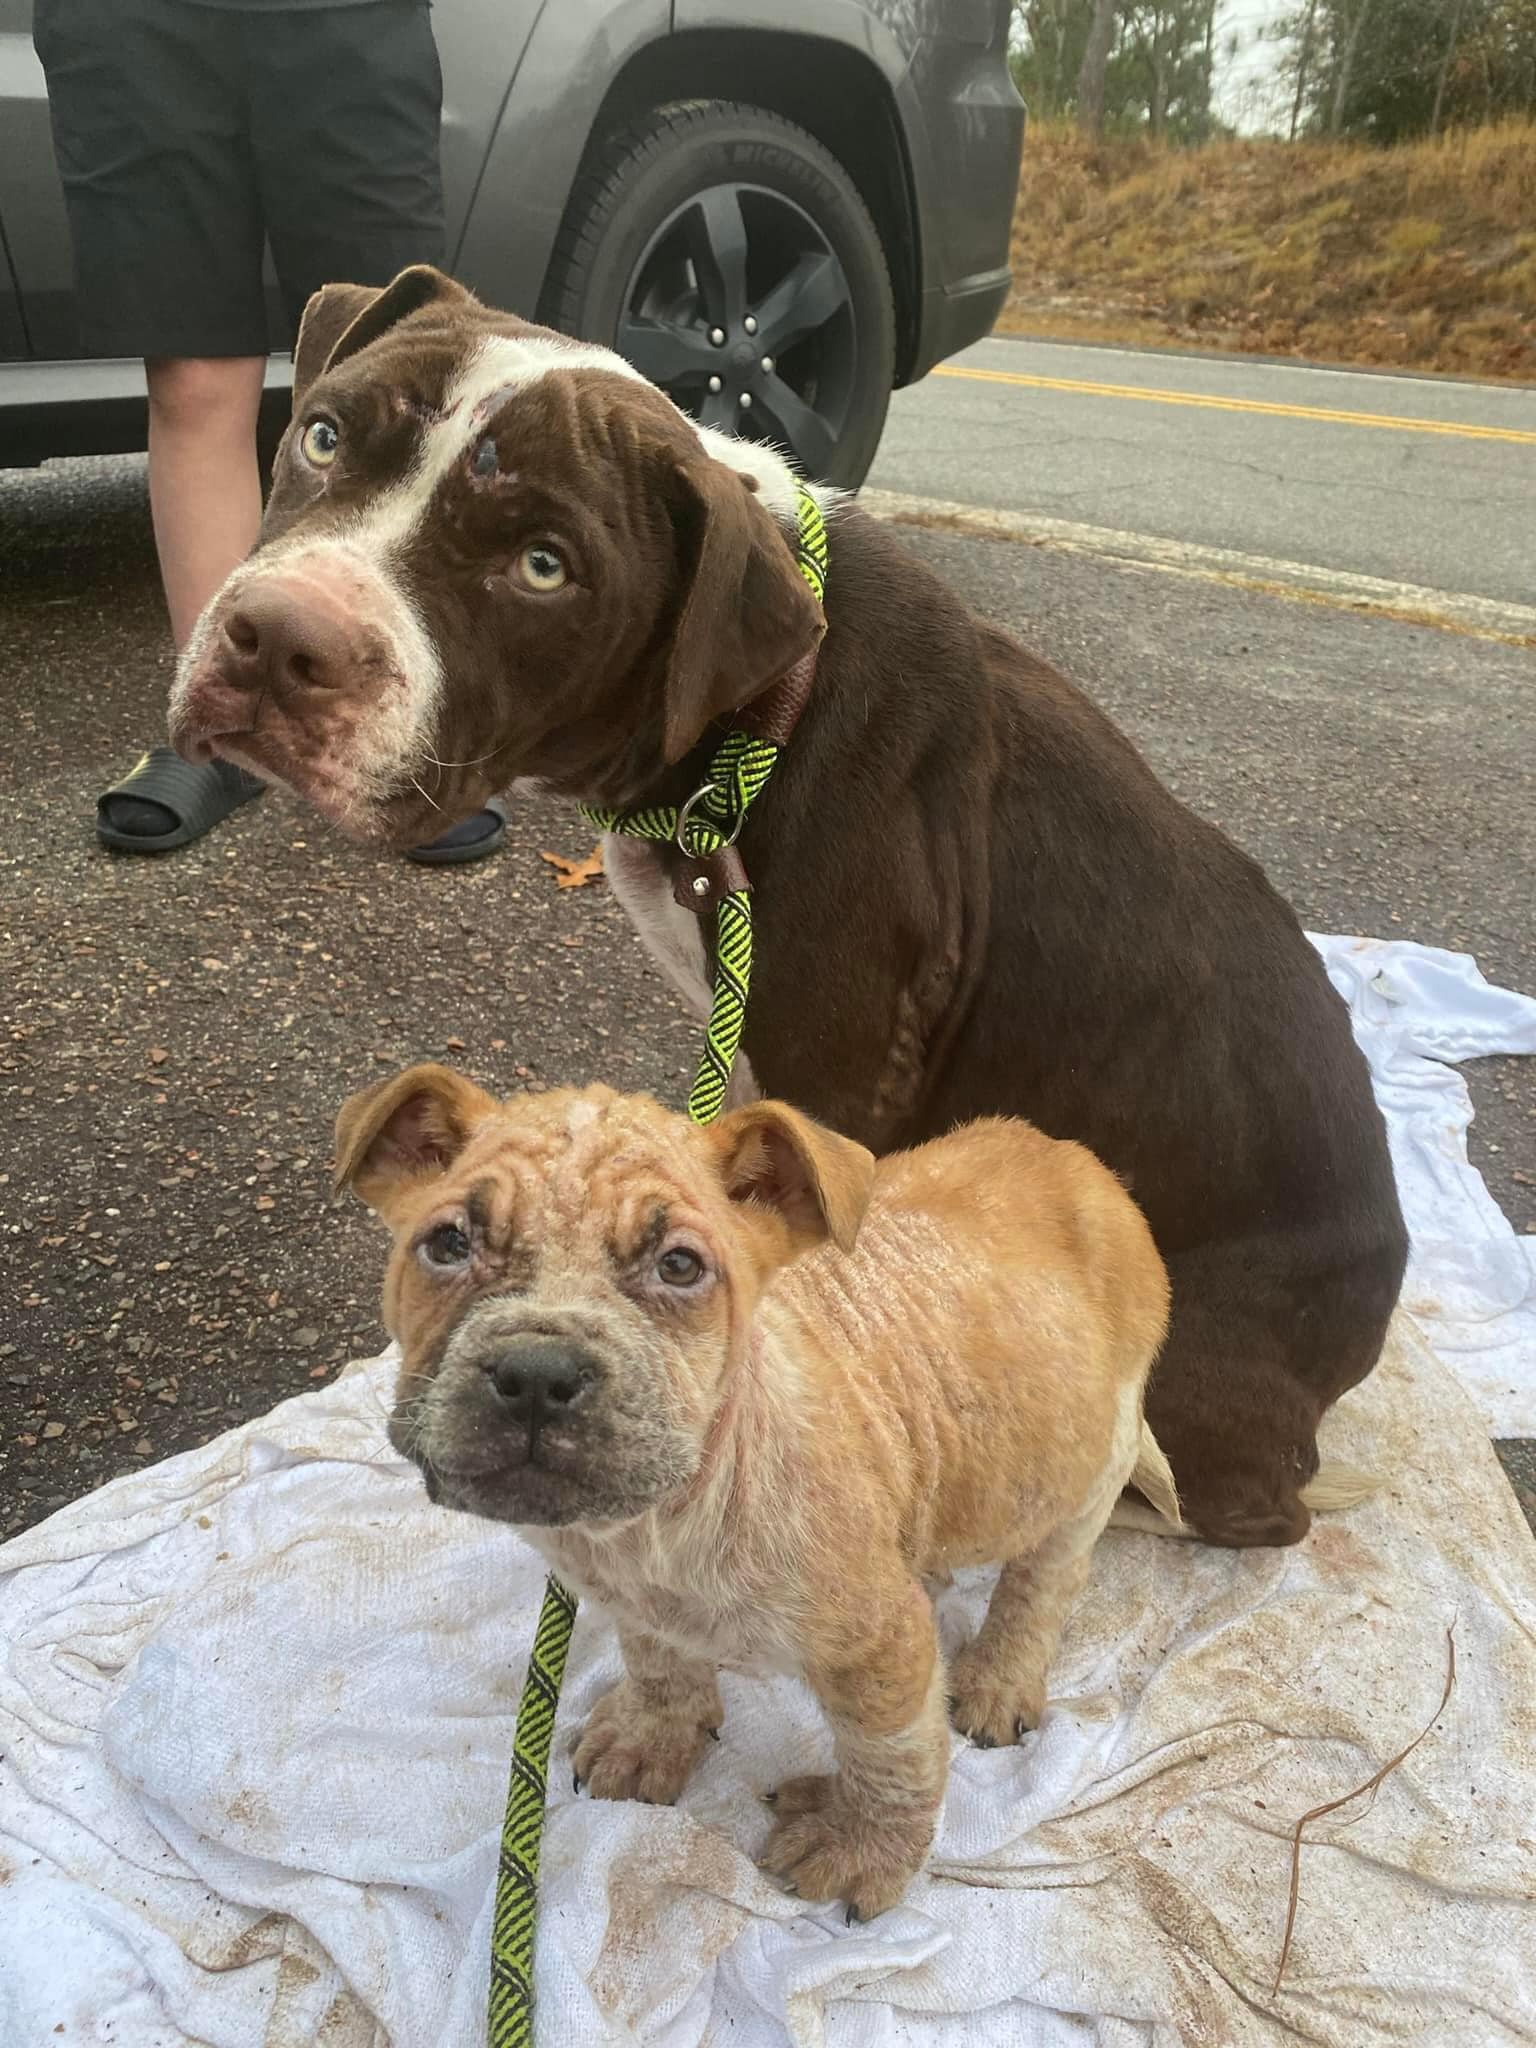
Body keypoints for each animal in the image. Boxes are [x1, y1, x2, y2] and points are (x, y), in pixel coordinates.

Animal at [167, 264, 1409, 1540]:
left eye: (544, 566)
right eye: (322, 435)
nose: (280, 637)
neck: (745, 715)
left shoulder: (845, 1067)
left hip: (1196, 1358)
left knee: (1240, 1500)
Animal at [335, 1073, 1179, 1916]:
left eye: (679, 1267)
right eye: (449, 1245)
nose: (537, 1375)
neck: (668, 1517)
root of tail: (1083, 1166)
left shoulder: (883, 1643)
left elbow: (894, 1756)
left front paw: (861, 1845)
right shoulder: (636, 1596)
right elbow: (657, 1659)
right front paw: (654, 1734)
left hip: (1091, 1458)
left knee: (1047, 1574)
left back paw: (1000, 1676)